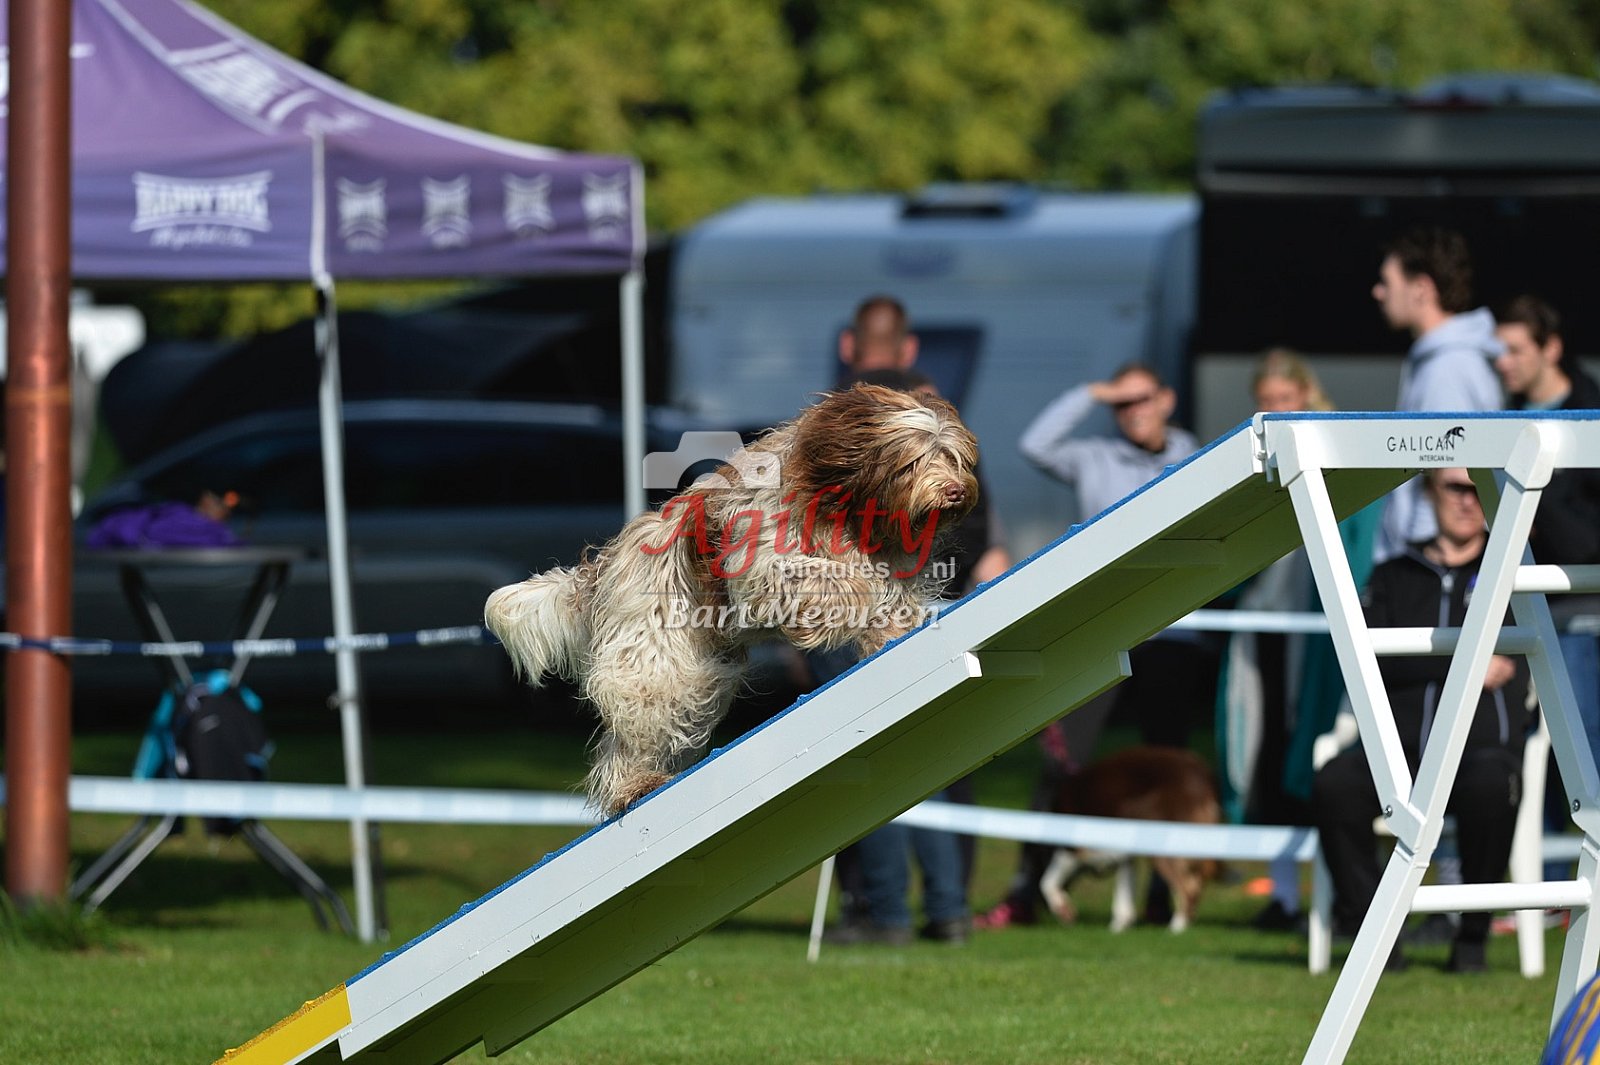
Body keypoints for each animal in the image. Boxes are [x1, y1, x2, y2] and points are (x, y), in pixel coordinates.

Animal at [485, 383, 979, 815]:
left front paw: (891, 628)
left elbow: (889, 596)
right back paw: (632, 786)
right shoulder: (763, 562)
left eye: (951, 456)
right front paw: (853, 599)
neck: (849, 511)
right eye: (913, 460)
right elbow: (832, 579)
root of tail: (603, 571)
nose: (955, 491)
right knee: (634, 728)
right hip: (659, 660)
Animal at [1037, 746, 1221, 933]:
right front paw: (1119, 926)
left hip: (1161, 845)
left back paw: (1176, 927)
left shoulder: (1074, 849)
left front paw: (1063, 909)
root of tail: (1204, 774)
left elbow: (1046, 881)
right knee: (1196, 883)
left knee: (1187, 888)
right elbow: (1124, 895)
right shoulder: (1124, 855)